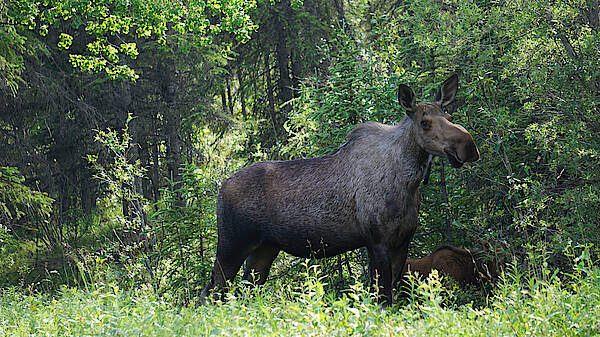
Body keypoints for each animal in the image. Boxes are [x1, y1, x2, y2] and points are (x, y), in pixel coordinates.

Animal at [199, 75, 480, 306]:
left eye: (450, 117)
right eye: (424, 122)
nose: (468, 146)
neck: (408, 182)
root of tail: (221, 187)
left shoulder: (403, 242)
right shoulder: (377, 240)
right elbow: (383, 298)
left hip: (264, 249)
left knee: (242, 292)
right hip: (232, 243)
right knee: (210, 293)